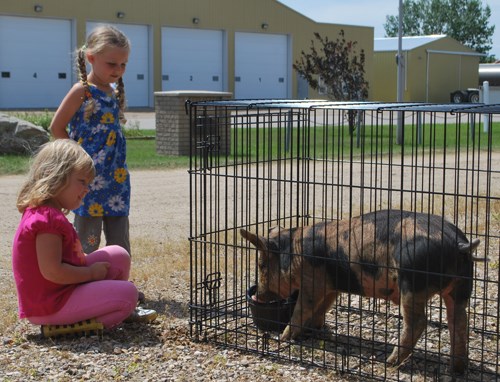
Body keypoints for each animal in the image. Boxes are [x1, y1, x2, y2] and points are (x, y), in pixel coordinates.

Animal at [240, 209, 482, 374]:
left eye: (261, 265)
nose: (257, 295)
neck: (294, 253)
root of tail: (458, 243)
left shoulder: (312, 281)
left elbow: (303, 309)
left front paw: (283, 338)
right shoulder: (331, 287)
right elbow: (322, 308)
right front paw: (316, 329)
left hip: (412, 283)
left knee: (418, 322)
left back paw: (390, 362)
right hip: (462, 286)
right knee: (459, 320)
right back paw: (456, 368)